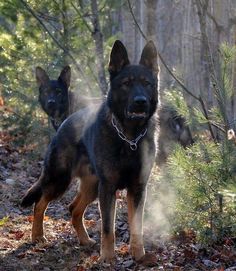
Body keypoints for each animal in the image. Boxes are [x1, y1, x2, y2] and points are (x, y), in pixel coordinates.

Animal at [21, 40, 159, 264]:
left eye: (147, 83)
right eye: (126, 83)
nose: (141, 101)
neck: (129, 138)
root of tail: (65, 123)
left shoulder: (137, 189)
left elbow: (137, 226)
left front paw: (139, 256)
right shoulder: (109, 188)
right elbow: (107, 228)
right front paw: (108, 258)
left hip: (92, 187)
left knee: (73, 209)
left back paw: (84, 240)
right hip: (60, 179)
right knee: (40, 203)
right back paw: (38, 236)